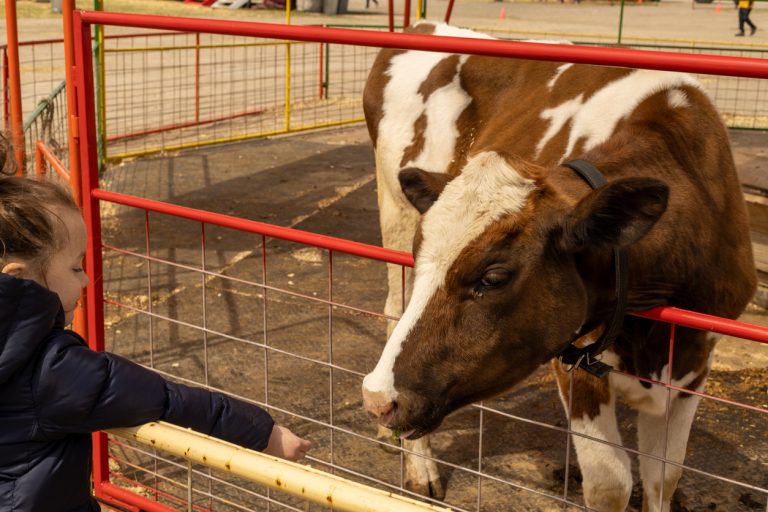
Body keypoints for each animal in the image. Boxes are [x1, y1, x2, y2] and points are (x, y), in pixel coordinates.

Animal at [360, 21, 756, 512]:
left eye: (494, 277)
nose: (379, 400)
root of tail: (429, 26)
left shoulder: (696, 359)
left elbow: (664, 475)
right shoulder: (577, 359)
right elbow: (611, 483)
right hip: (394, 213)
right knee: (394, 310)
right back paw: (419, 466)